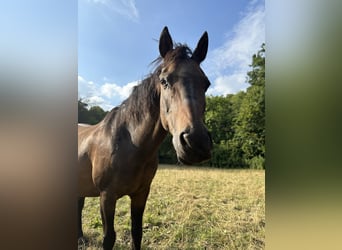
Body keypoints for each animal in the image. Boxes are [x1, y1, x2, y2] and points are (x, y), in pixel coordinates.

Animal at [78, 27, 211, 250]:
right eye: (164, 81)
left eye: (206, 84)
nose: (196, 142)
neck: (129, 145)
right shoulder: (107, 197)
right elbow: (109, 238)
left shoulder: (141, 194)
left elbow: (137, 233)